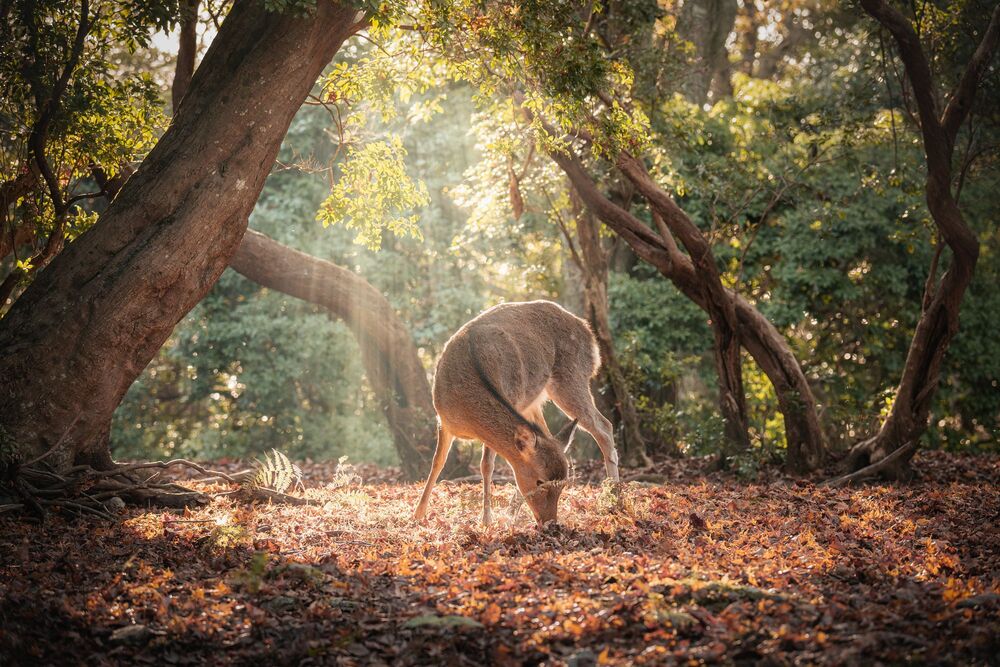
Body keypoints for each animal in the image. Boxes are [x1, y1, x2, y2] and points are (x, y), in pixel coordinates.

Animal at [412, 300, 621, 527]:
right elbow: (437, 462)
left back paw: (613, 497)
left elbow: (486, 465)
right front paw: (418, 514)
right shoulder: (443, 420)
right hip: (534, 402)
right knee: (555, 433)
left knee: (604, 425)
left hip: (573, 378)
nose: (551, 522)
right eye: (539, 481)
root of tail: (590, 335)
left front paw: (486, 519)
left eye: (564, 484)